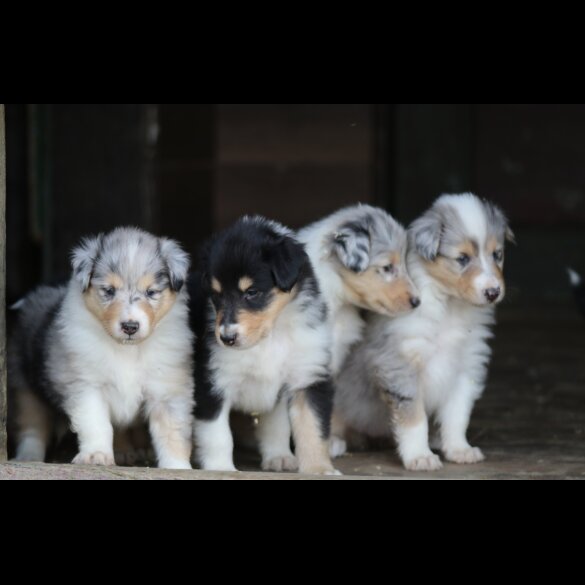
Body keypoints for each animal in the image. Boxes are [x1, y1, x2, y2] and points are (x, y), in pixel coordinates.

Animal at [8, 226, 194, 468]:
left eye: (151, 292)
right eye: (109, 290)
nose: (130, 326)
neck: (127, 349)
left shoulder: (166, 389)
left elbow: (171, 431)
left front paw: (177, 466)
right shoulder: (86, 385)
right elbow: (97, 423)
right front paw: (96, 456)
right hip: (26, 385)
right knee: (32, 426)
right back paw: (29, 457)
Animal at [330, 195, 512, 470]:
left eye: (497, 254)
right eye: (462, 258)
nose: (493, 292)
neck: (449, 307)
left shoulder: (465, 366)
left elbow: (457, 415)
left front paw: (459, 449)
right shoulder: (401, 364)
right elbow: (414, 419)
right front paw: (420, 456)